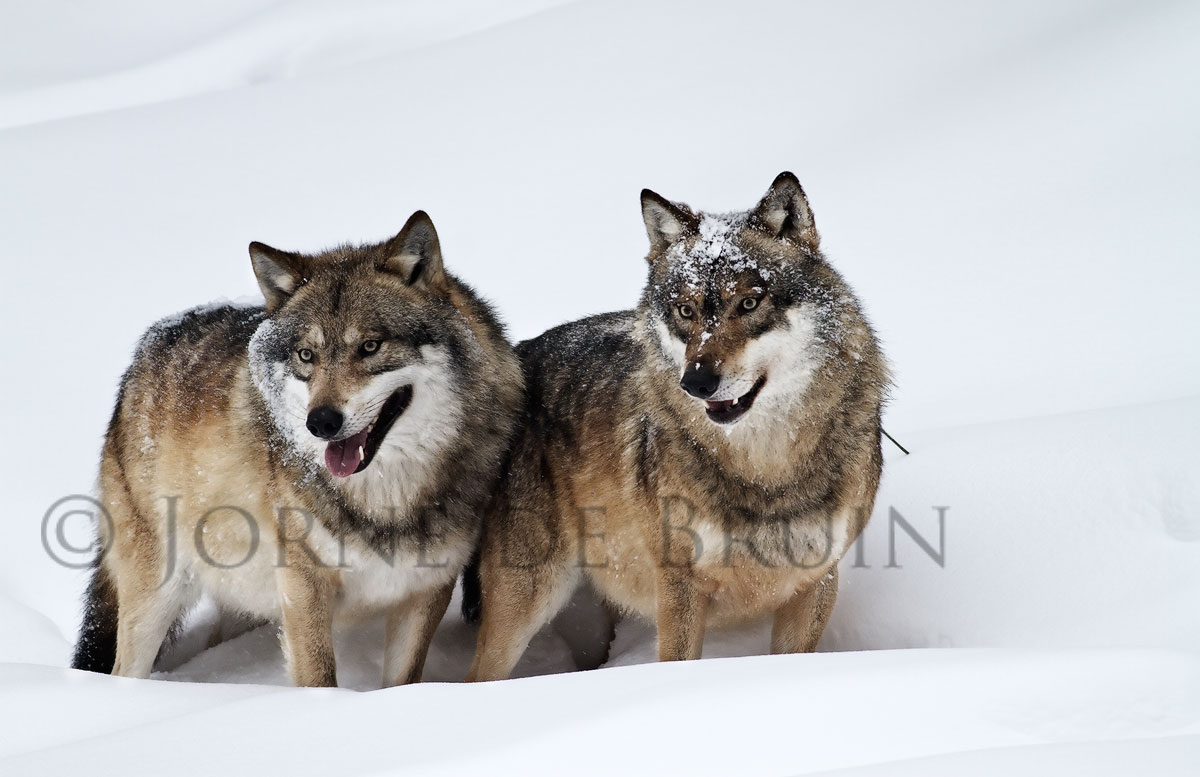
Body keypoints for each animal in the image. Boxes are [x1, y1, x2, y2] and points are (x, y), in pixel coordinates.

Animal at [71, 211, 523, 687]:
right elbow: (319, 675)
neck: (386, 497)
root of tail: (150, 342)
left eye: (370, 346)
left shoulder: (425, 590)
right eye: (307, 355)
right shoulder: (303, 586)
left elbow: (403, 679)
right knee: (125, 667)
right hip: (157, 595)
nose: (320, 422)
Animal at [464, 173, 889, 680]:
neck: (766, 469)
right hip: (525, 602)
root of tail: (519, 358)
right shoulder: (680, 585)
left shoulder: (815, 580)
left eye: (749, 303)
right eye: (686, 311)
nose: (696, 382)